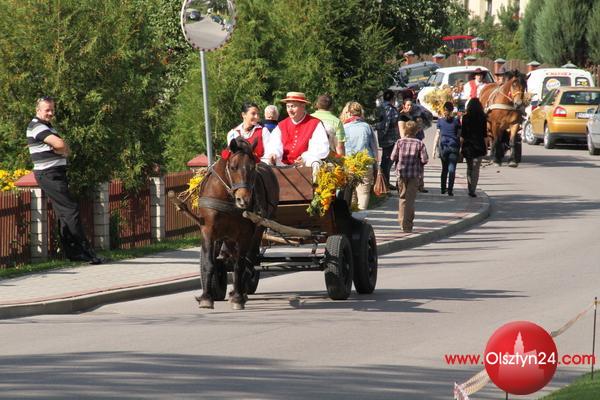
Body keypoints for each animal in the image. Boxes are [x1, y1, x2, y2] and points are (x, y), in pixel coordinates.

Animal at [197, 138, 282, 310]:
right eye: (233, 167)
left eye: (252, 167)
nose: (244, 200)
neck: (227, 199)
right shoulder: (208, 231)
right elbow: (209, 263)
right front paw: (206, 298)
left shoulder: (245, 235)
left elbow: (239, 265)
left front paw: (237, 297)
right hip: (228, 236)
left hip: (257, 231)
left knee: (248, 259)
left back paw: (241, 293)